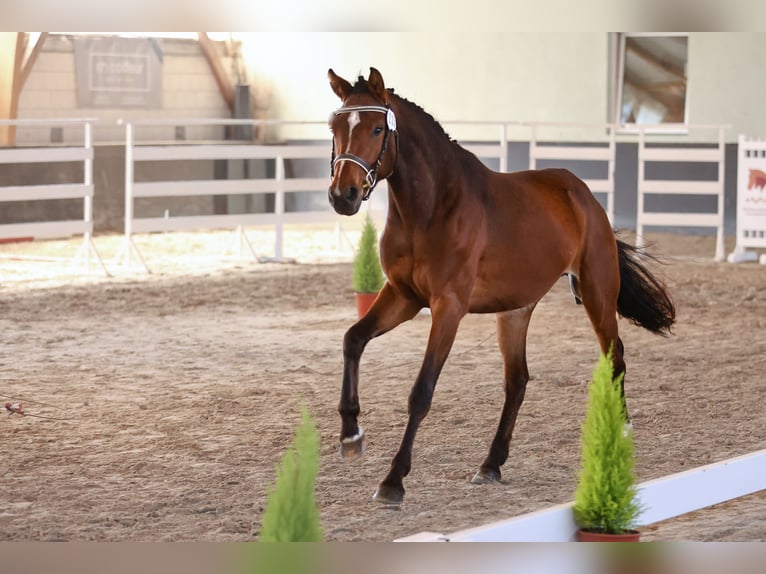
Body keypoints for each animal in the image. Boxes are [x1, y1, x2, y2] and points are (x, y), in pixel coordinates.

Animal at [327, 67, 675, 506]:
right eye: (335, 127)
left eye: (376, 128)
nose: (343, 195)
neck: (431, 208)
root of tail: (582, 196)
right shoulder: (402, 297)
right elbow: (352, 339)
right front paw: (351, 435)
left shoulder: (448, 306)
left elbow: (421, 391)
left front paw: (393, 481)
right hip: (514, 311)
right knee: (517, 381)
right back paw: (491, 464)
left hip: (598, 295)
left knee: (615, 358)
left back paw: (621, 433)